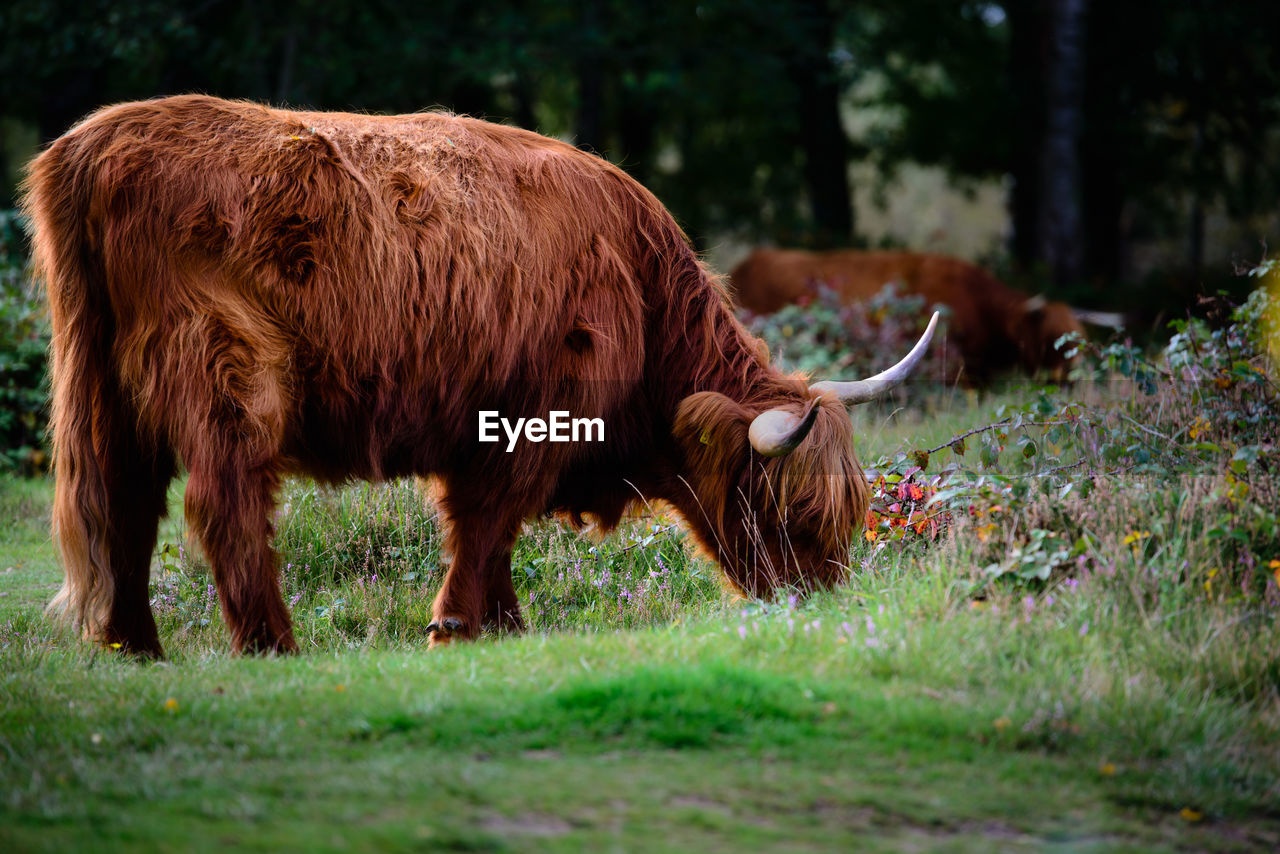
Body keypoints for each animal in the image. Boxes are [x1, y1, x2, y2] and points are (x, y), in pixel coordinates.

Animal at [22, 95, 942, 655]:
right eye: (790, 508)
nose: (822, 605)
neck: (642, 292)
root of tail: (97, 140)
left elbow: (487, 530)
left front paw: (498, 623)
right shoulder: (532, 416)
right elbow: (489, 521)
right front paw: (463, 624)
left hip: (98, 385)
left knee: (121, 504)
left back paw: (133, 646)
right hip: (228, 371)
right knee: (224, 502)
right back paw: (271, 645)